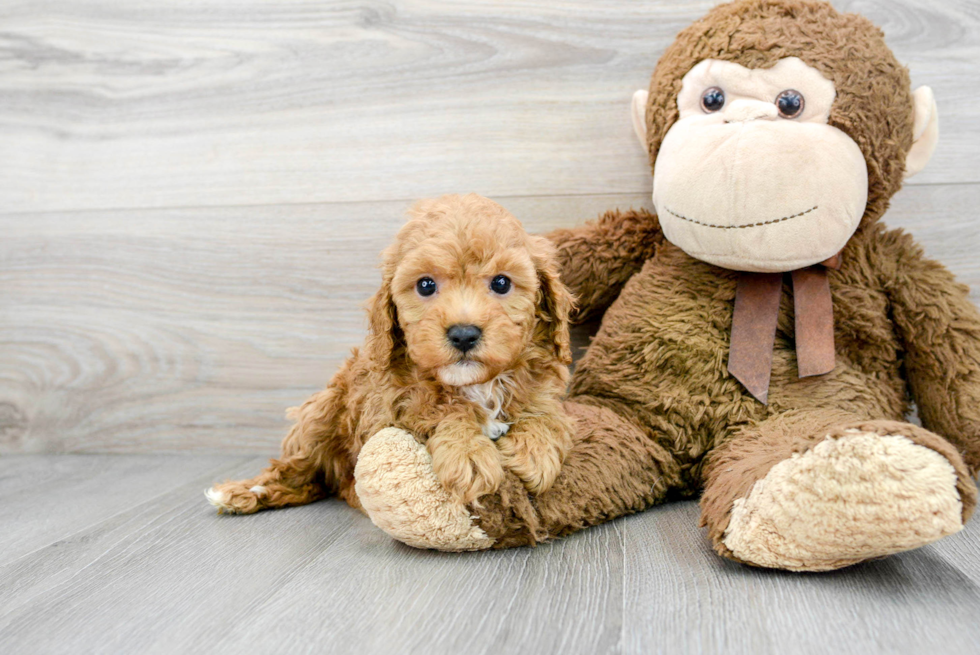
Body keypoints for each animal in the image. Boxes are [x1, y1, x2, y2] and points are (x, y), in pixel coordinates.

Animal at [206, 195, 576, 512]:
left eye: (501, 283)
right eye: (425, 285)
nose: (463, 334)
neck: (475, 385)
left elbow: (543, 410)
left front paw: (535, 449)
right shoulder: (389, 406)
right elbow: (440, 409)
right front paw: (467, 454)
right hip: (321, 412)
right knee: (297, 468)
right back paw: (246, 491)